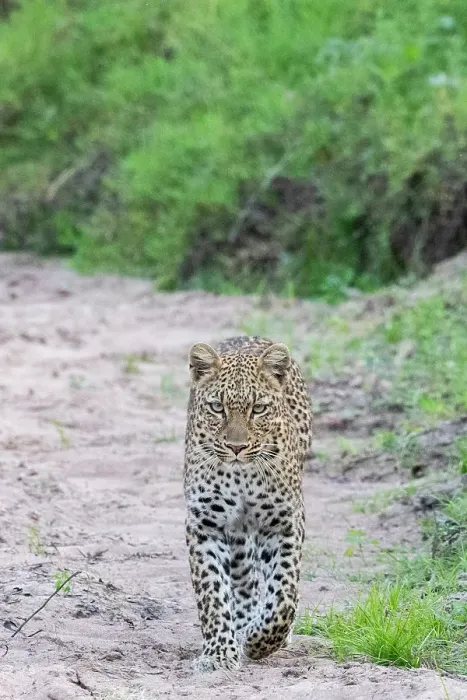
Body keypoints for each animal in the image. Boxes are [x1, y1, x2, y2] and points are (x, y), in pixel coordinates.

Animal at [184, 335, 312, 672]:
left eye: (259, 409)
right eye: (218, 407)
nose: (236, 447)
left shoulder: (284, 521)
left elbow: (284, 593)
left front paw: (261, 641)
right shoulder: (204, 524)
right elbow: (212, 592)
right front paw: (218, 653)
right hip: (237, 530)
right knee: (244, 577)